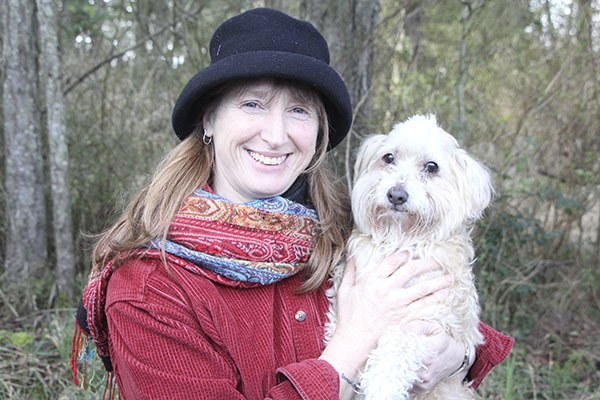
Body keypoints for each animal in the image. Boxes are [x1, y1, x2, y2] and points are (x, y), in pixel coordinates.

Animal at [326, 114, 494, 398]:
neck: (400, 239)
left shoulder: (425, 321)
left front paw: (381, 387)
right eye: (389, 158)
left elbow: (397, 349)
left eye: (431, 167)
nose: (396, 194)